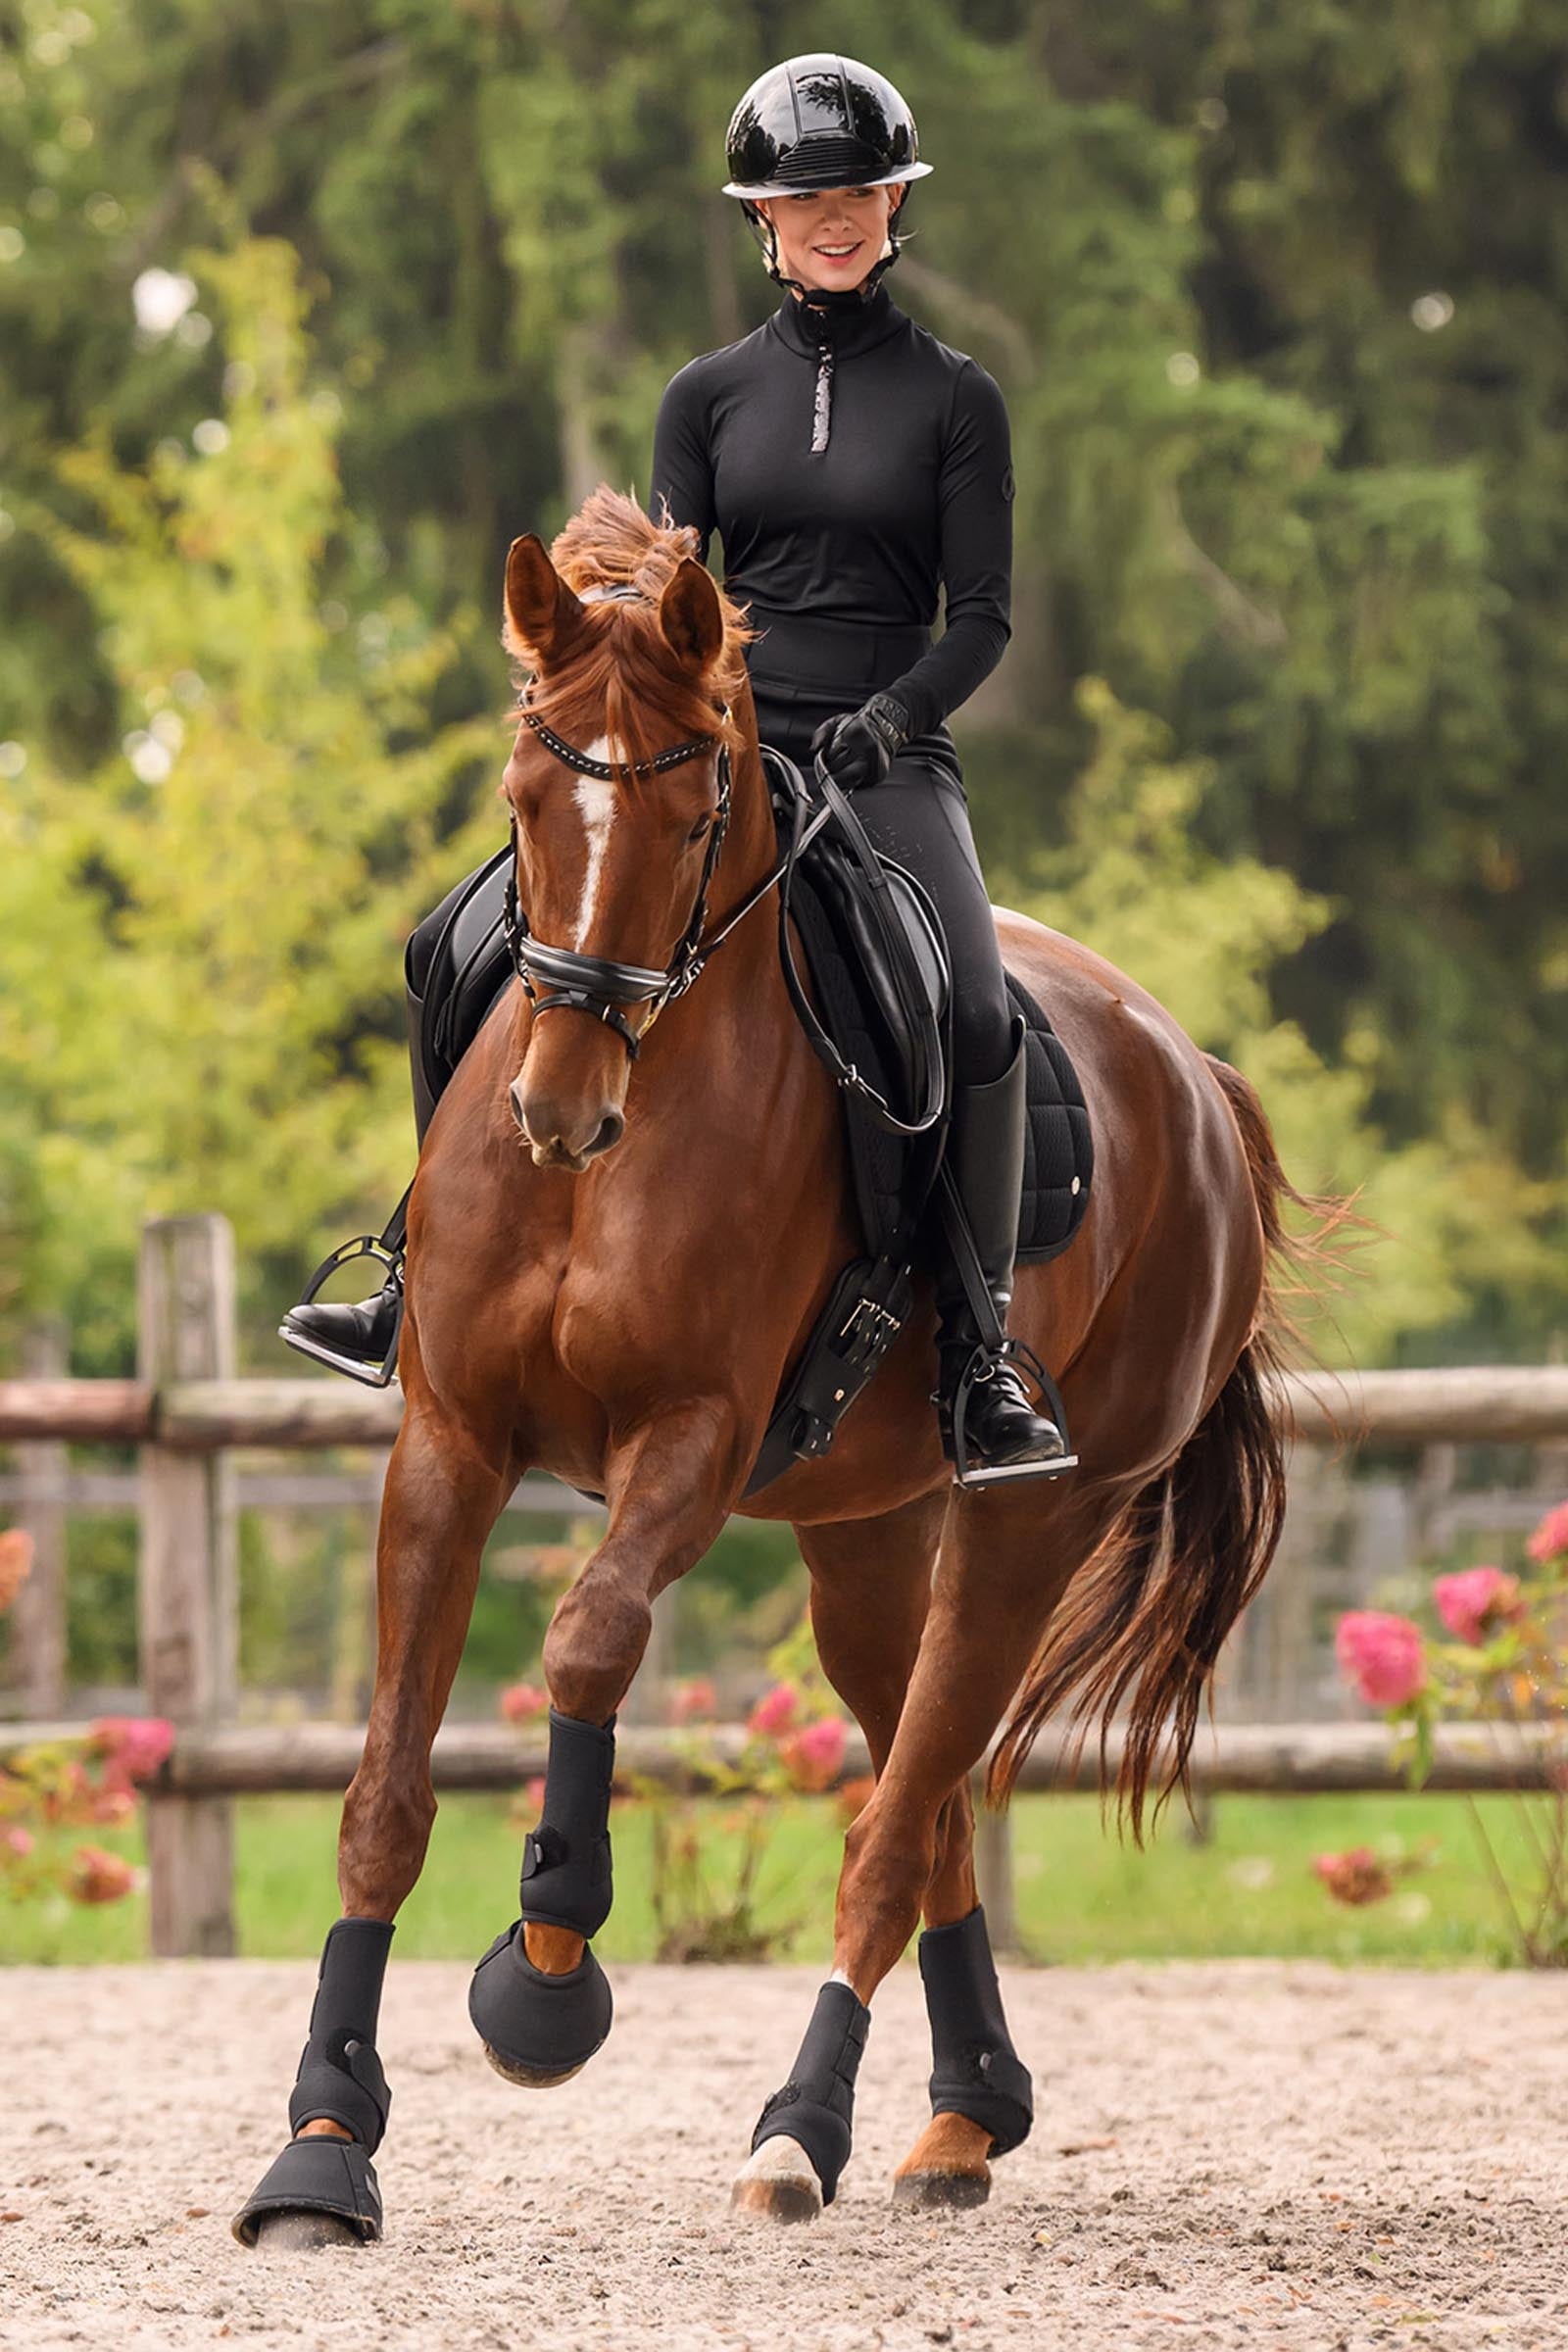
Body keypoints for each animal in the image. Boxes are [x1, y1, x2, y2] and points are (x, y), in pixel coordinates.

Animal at [235, 485, 1334, 2246]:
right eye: (524, 800)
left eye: (695, 824)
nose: (557, 1111)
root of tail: (1196, 1072)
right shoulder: (448, 1442)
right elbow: (385, 1793)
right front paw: (323, 2143)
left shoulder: (690, 1441)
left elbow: (591, 1639)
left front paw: (548, 1971)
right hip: (864, 1536)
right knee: (925, 1802)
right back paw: (965, 2115)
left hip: (1030, 1525)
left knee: (896, 1825)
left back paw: (801, 2131)